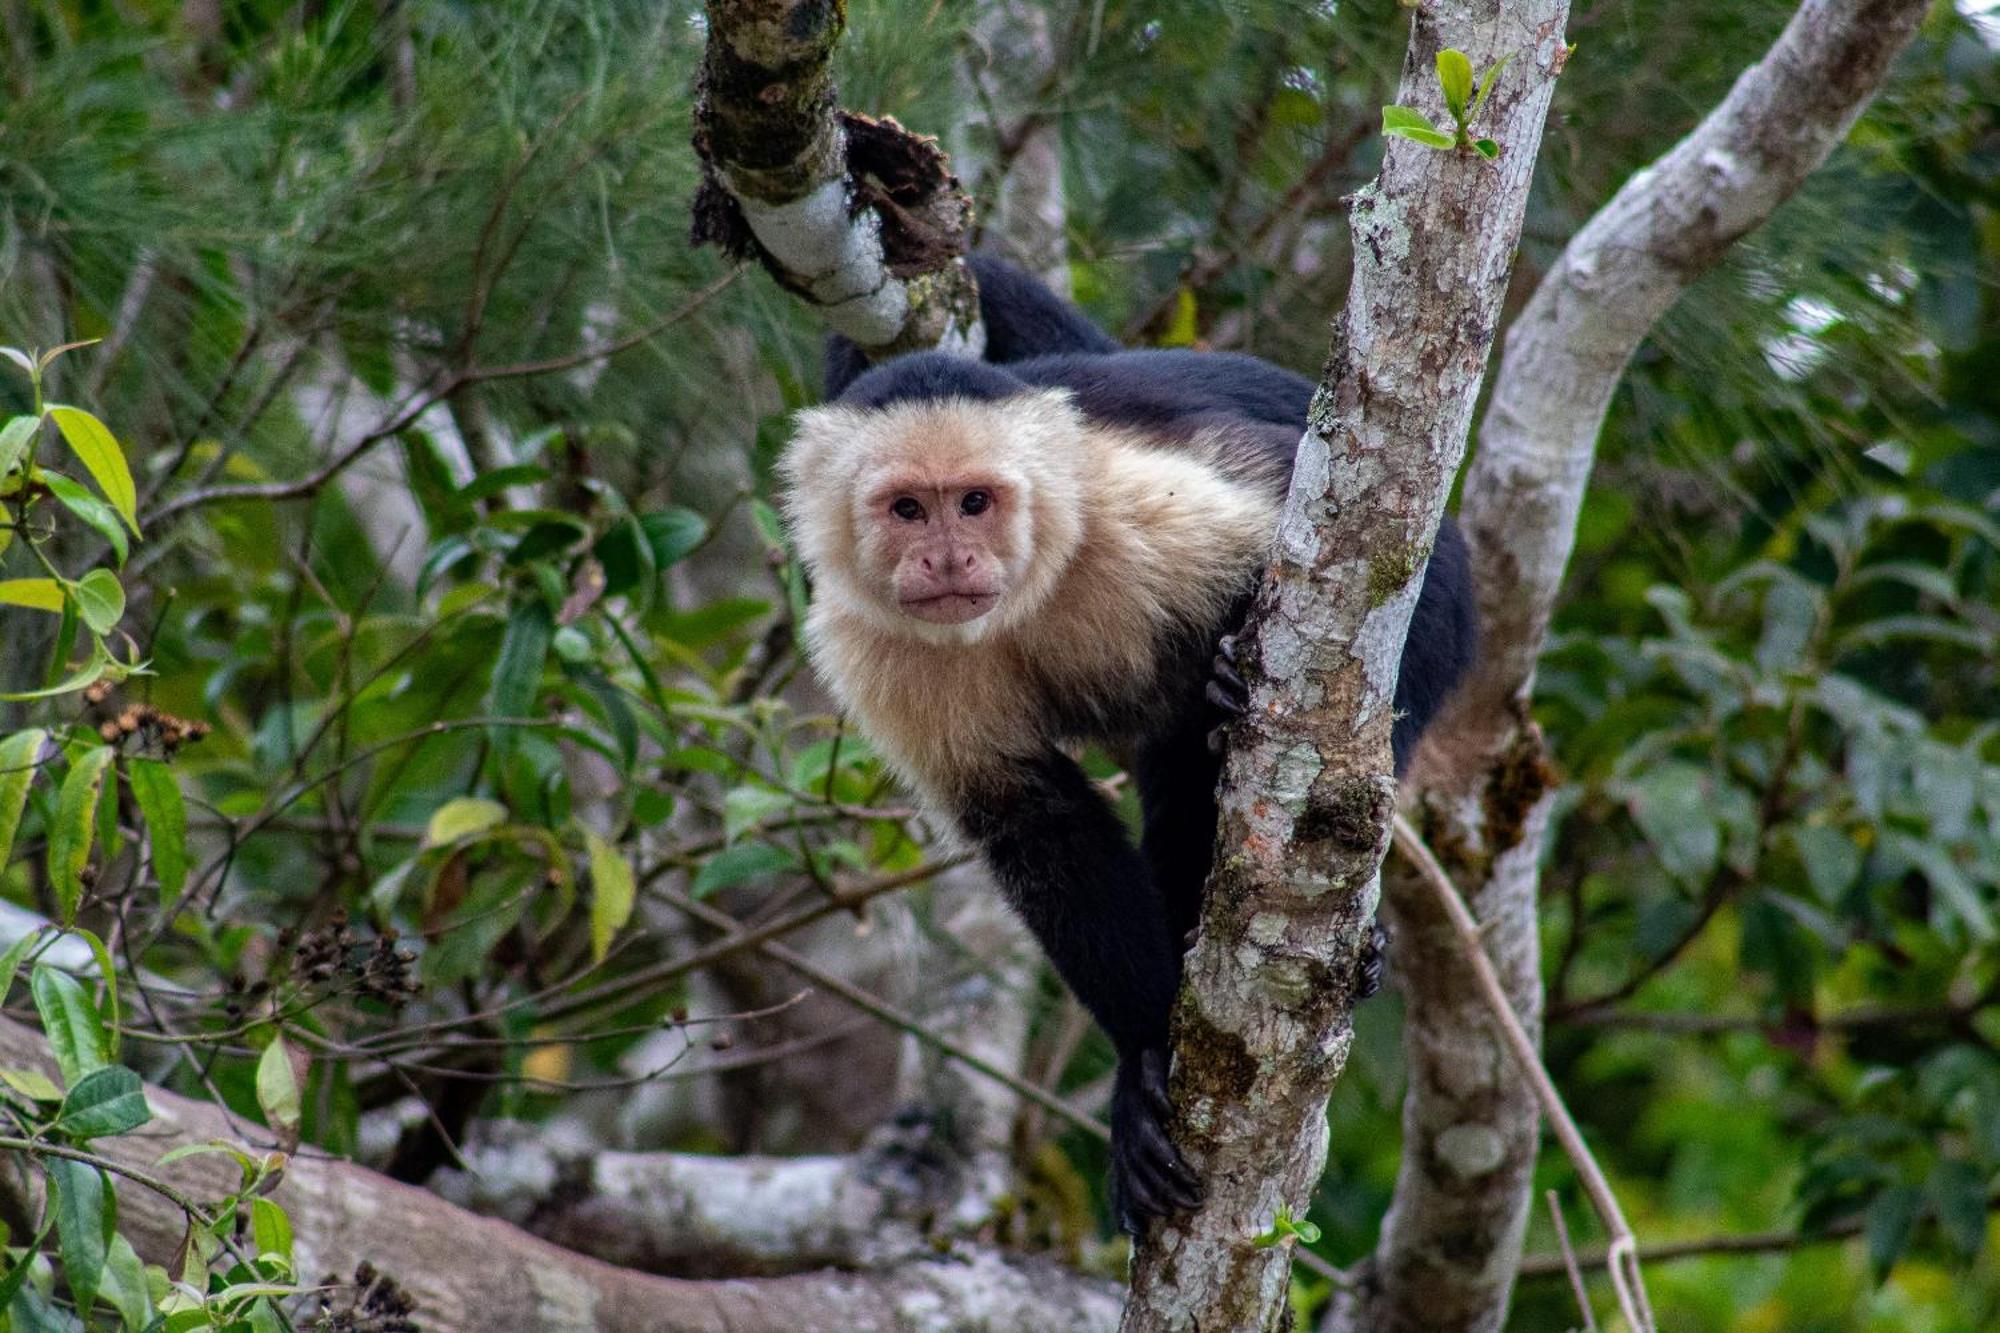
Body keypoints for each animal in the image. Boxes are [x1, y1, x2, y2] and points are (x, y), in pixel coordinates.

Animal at [788, 254, 1480, 1232]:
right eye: (907, 509)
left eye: (975, 502)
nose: (950, 559)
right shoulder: (867, 644)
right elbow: (1039, 825)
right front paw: (1145, 1057)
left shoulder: (1125, 503)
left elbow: (1362, 551)